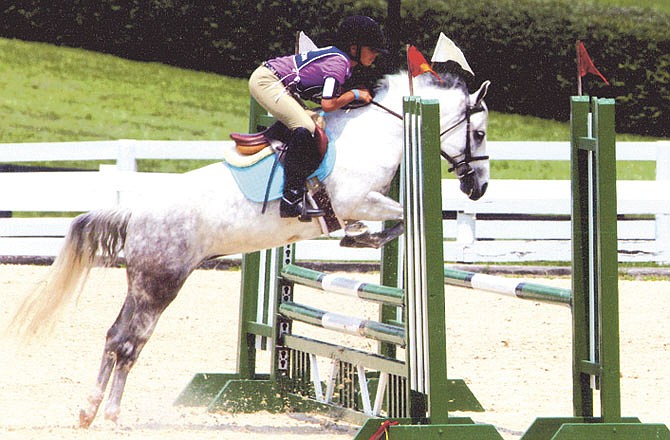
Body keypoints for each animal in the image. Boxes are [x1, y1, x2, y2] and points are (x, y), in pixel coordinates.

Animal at [7, 71, 490, 426]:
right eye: (481, 134)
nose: (479, 188)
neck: (378, 133)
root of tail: (135, 213)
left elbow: (399, 218)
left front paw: (359, 236)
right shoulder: (359, 199)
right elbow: (403, 215)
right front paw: (361, 237)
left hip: (141, 284)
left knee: (114, 338)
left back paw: (89, 411)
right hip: (161, 284)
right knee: (129, 343)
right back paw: (109, 415)